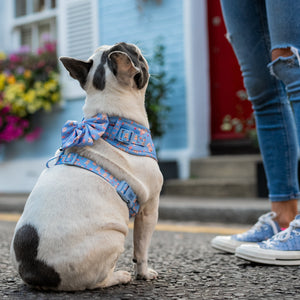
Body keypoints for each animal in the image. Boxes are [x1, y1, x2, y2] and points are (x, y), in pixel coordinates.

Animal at [10, 42, 163, 290]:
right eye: (136, 55)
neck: (109, 117)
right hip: (114, 238)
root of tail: (38, 273)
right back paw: (119, 276)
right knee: (96, 282)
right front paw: (144, 273)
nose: (133, 45)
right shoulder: (149, 209)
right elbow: (141, 248)